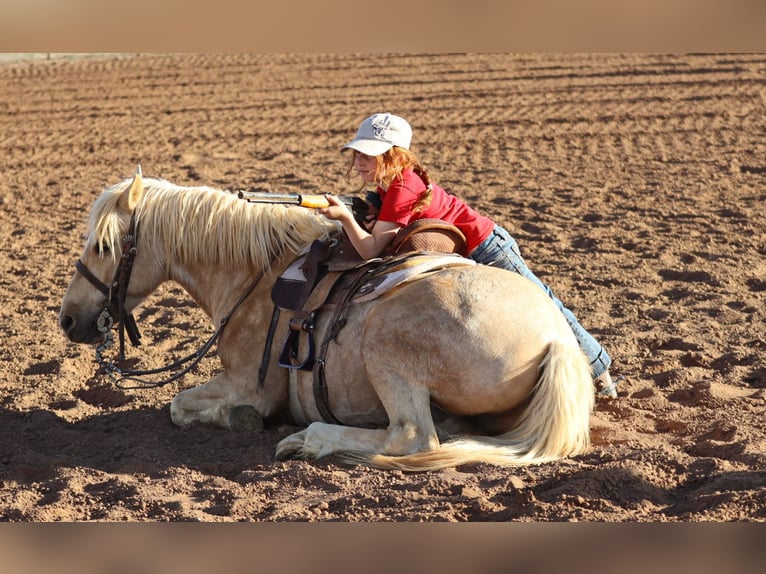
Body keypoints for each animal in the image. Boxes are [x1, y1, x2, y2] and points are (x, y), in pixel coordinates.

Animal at [59, 168, 595, 471]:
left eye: (102, 245)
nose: (66, 320)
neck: (257, 273)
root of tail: (556, 341)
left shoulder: (250, 385)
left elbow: (179, 405)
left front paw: (241, 420)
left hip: (386, 342)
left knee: (412, 435)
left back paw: (308, 440)